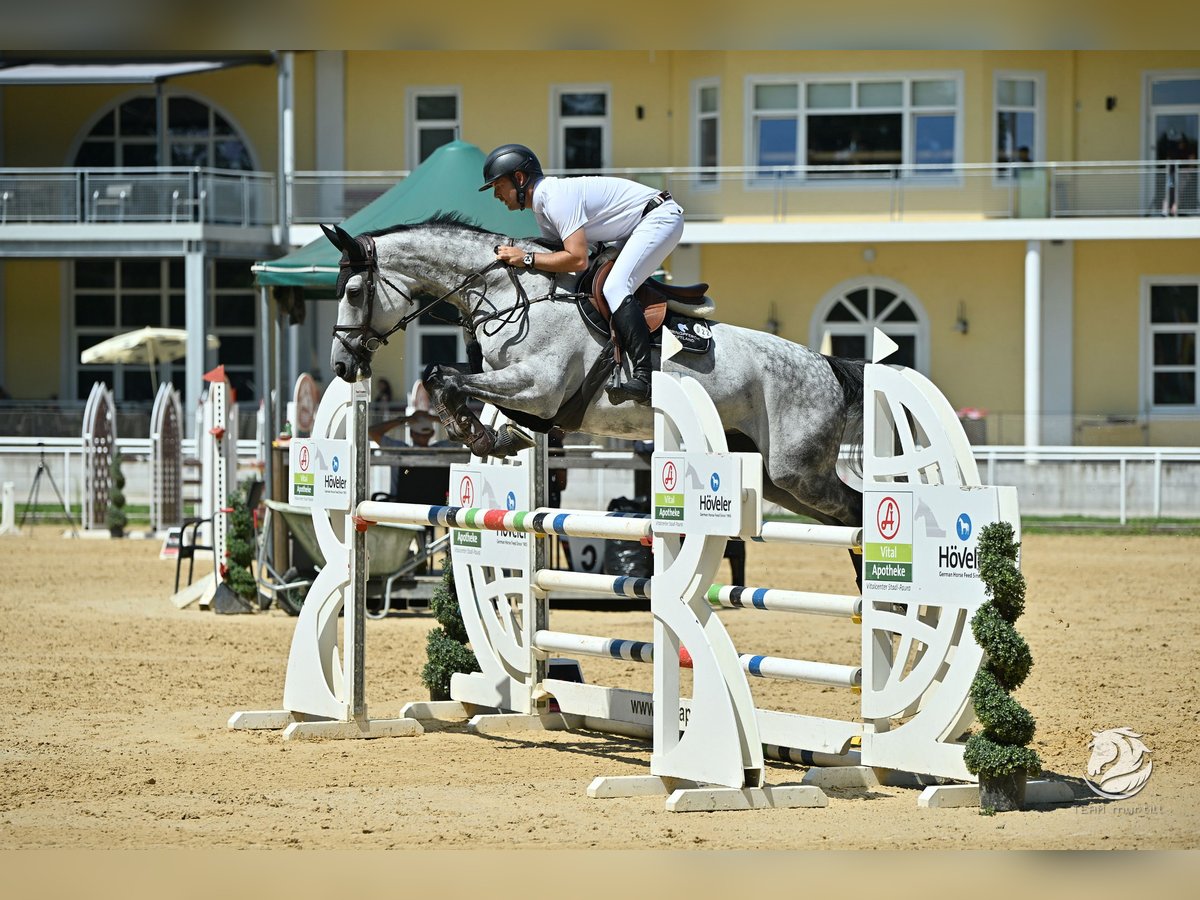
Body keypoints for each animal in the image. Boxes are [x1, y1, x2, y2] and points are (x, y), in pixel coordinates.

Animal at [324, 214, 864, 540]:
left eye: (352, 291)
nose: (342, 366)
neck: (508, 291)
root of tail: (827, 367)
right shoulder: (526, 395)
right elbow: (460, 387)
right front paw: (487, 435)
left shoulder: (538, 387)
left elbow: (448, 377)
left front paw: (468, 429)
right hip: (775, 478)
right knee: (840, 516)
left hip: (798, 470)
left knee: (855, 511)